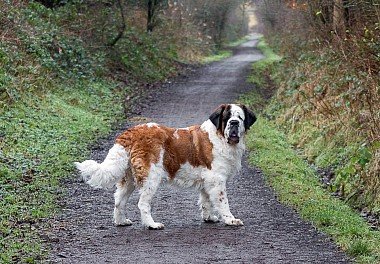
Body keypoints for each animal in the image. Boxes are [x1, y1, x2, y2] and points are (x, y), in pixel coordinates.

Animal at [75, 103, 256, 229]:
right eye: (227, 117)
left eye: (240, 117)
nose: (234, 123)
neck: (220, 138)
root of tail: (132, 132)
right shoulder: (216, 179)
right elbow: (222, 201)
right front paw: (230, 219)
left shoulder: (207, 180)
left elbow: (206, 200)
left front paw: (209, 217)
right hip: (150, 177)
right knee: (142, 203)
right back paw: (152, 225)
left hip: (129, 179)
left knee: (119, 200)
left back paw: (121, 221)